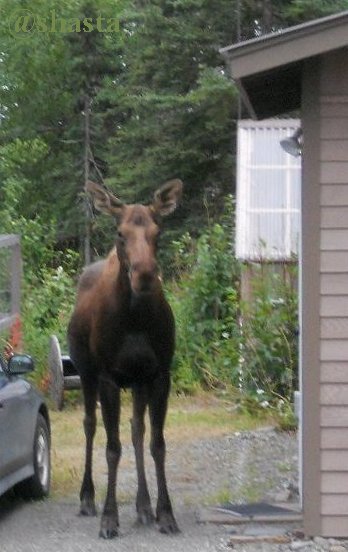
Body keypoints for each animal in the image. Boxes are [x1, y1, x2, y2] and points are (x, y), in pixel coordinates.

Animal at [66, 180, 184, 540]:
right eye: (120, 233)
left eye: (158, 231)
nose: (144, 274)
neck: (135, 320)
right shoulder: (108, 376)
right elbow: (112, 447)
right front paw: (109, 518)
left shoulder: (159, 374)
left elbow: (157, 443)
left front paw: (165, 513)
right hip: (86, 373)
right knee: (89, 425)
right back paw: (87, 497)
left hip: (137, 382)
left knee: (136, 429)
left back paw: (143, 507)